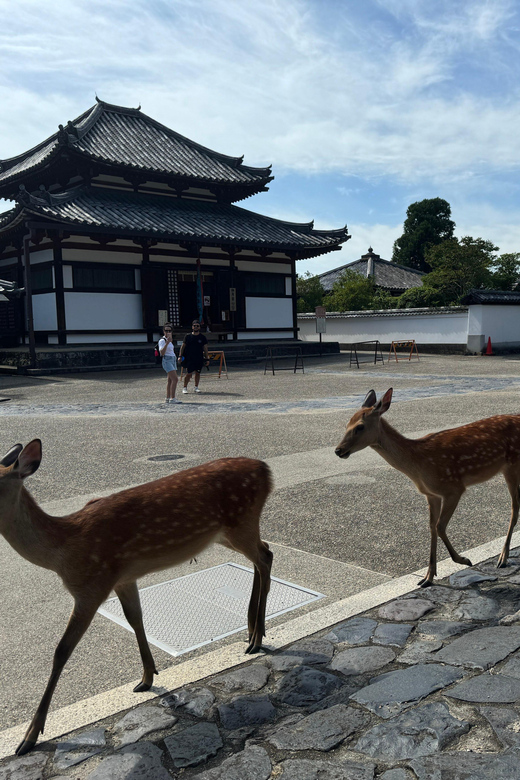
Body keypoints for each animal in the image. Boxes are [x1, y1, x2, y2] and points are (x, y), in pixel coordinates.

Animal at [0, 442, 274, 752]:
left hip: (242, 522)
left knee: (265, 557)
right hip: (227, 533)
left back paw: (256, 638)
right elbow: (135, 619)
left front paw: (29, 737)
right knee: (264, 552)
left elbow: (61, 651)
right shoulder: (123, 578)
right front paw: (146, 677)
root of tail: (265, 470)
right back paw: (251, 630)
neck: (63, 553)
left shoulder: (92, 586)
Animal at [336, 386, 520, 588]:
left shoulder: (453, 488)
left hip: (512, 466)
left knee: (514, 508)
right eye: (346, 424)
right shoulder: (431, 494)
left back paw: (503, 557)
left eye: (359, 426)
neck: (419, 463)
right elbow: (431, 527)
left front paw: (463, 560)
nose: (338, 450)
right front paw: (428, 577)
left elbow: (440, 526)